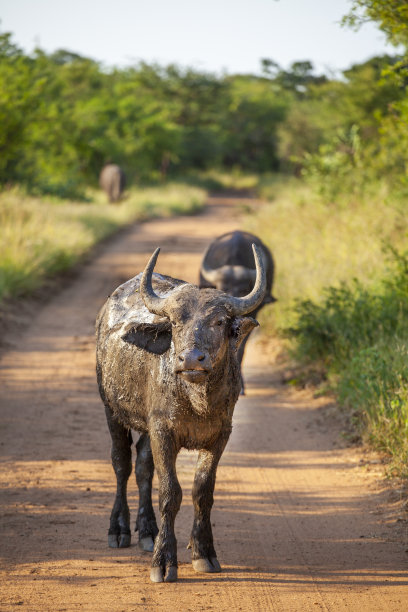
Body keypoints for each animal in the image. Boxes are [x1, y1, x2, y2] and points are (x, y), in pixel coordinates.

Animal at [96, 245, 268, 584]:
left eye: (219, 321)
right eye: (175, 322)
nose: (190, 359)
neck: (196, 399)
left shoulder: (219, 436)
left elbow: (203, 490)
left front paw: (203, 552)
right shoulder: (164, 431)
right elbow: (170, 492)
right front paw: (163, 561)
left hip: (146, 426)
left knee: (143, 466)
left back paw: (147, 531)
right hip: (111, 408)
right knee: (121, 462)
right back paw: (119, 529)